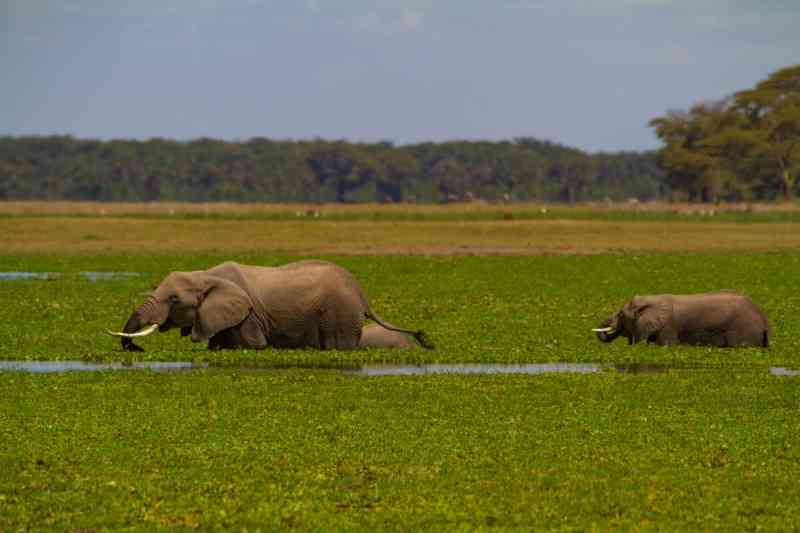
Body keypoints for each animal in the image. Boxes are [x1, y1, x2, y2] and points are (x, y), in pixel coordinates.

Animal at [108, 260, 433, 352]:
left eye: (174, 299)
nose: (136, 350)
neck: (205, 274)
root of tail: (361, 293)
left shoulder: (248, 316)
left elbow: (255, 346)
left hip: (340, 315)